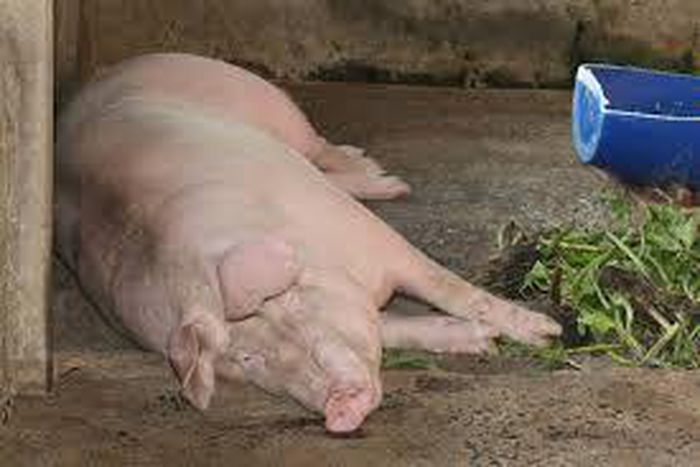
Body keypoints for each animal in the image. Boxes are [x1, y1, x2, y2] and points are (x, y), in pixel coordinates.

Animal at [55, 53, 561, 433]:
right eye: (247, 358)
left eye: (293, 304)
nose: (339, 407)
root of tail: (117, 68)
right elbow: (392, 328)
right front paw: (484, 345)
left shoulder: (372, 237)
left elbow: (449, 287)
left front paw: (544, 333)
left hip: (269, 101)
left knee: (320, 148)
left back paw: (385, 179)